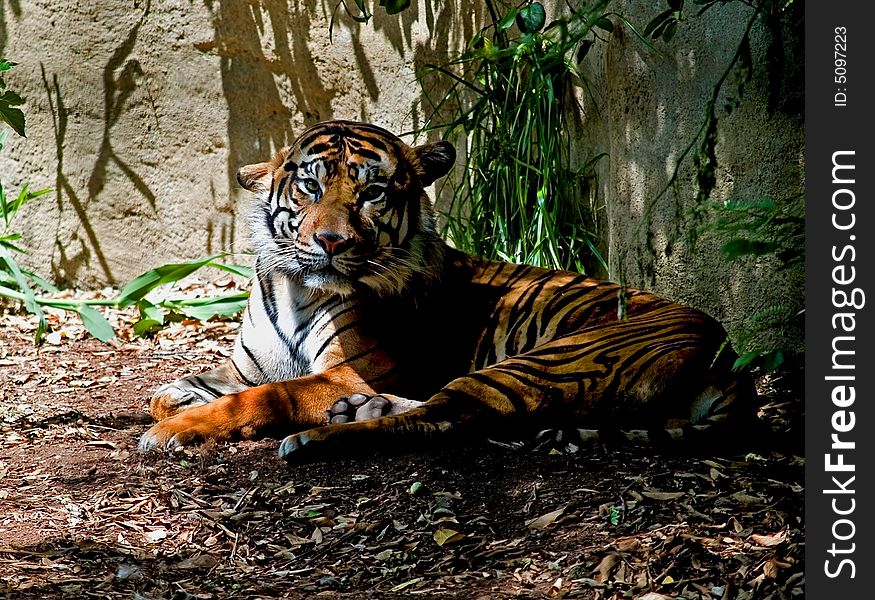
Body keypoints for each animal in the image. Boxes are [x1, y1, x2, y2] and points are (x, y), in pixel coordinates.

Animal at [135, 120, 752, 460]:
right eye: (310, 186)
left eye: (374, 193)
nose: (332, 241)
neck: (295, 290)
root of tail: (727, 355)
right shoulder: (246, 366)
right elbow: (175, 387)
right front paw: (177, 403)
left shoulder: (351, 370)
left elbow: (266, 397)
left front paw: (174, 430)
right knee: (447, 408)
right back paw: (355, 413)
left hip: (549, 360)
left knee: (451, 419)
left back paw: (320, 438)